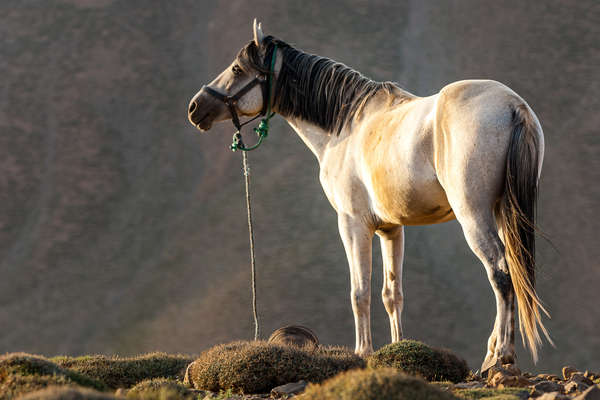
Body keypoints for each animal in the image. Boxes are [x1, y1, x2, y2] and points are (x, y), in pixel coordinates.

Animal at [190, 20, 552, 374]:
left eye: (237, 68)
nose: (195, 108)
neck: (346, 127)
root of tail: (513, 106)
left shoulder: (352, 225)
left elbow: (359, 291)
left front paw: (363, 351)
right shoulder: (391, 229)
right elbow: (392, 294)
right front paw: (398, 349)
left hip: (474, 215)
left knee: (500, 272)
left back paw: (500, 355)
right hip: (503, 213)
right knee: (513, 272)